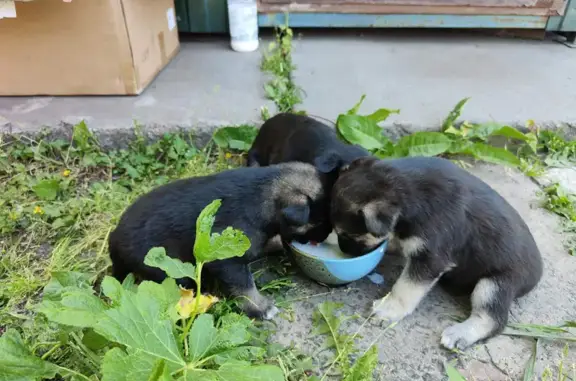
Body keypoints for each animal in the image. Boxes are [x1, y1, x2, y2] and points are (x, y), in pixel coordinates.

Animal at [109, 162, 332, 320]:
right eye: (318, 222)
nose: (323, 238)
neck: (262, 195)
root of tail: (114, 239)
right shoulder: (228, 261)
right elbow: (245, 286)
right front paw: (260, 307)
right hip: (169, 272)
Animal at [330, 154, 544, 348]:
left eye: (347, 235)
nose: (345, 252)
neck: (405, 188)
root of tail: (538, 274)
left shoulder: (430, 259)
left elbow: (405, 288)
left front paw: (390, 308)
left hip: (494, 285)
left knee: (492, 319)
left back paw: (460, 334)